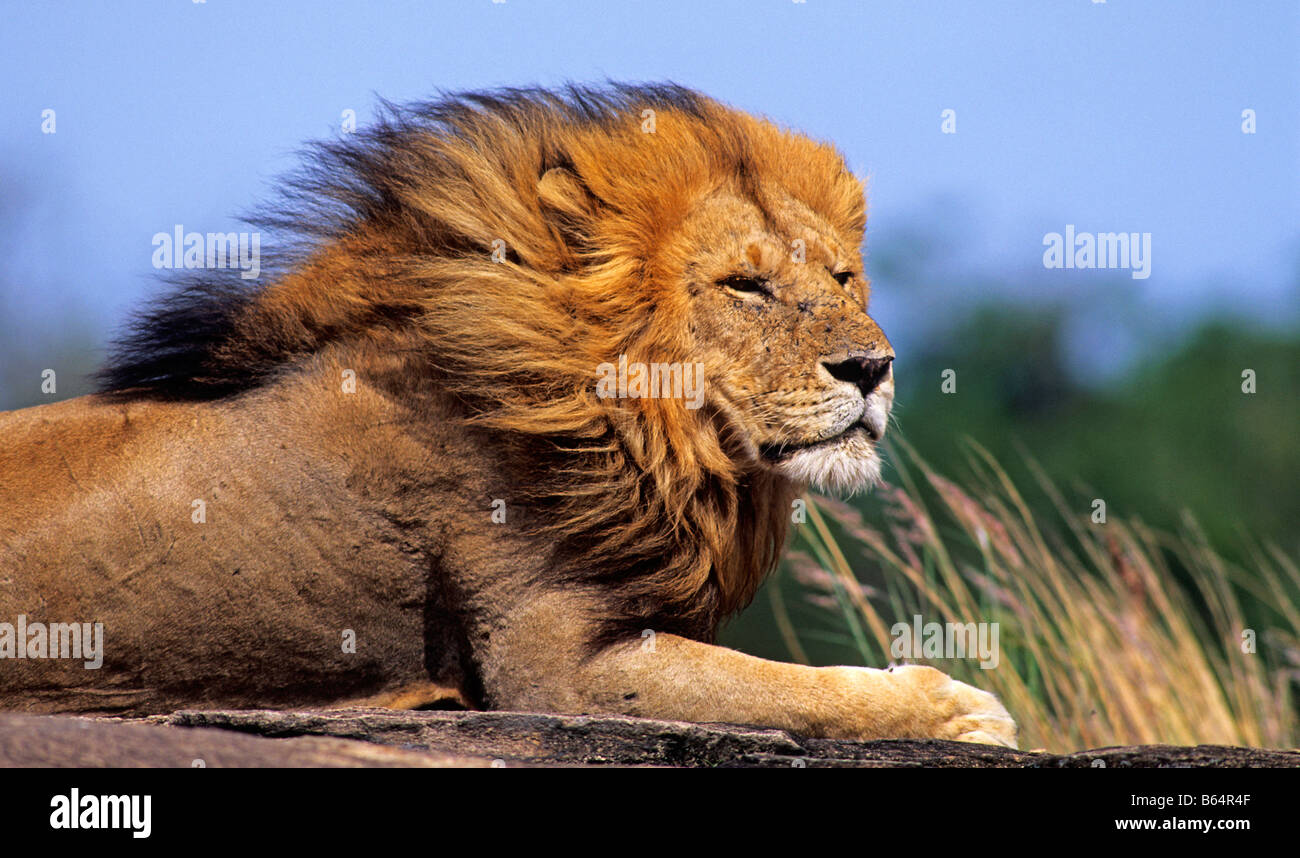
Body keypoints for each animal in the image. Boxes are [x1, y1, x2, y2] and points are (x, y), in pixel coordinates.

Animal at [0, 84, 1016, 747]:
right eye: (746, 285)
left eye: (841, 277)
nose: (874, 368)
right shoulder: (555, 669)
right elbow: (803, 691)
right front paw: (961, 709)